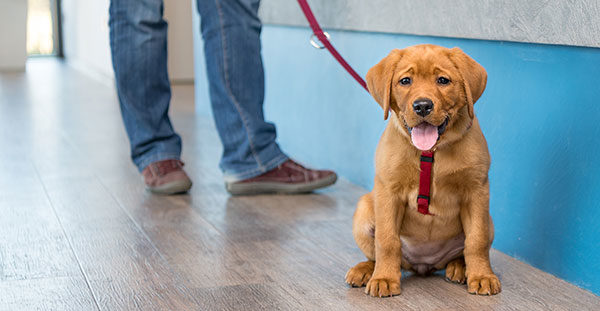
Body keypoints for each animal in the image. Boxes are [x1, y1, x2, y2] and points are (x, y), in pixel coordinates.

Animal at [344, 44, 500, 298]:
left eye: (443, 80)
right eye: (405, 81)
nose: (423, 106)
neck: (431, 151)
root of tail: (424, 264)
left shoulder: (476, 191)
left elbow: (476, 241)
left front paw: (482, 276)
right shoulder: (388, 192)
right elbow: (387, 241)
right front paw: (384, 278)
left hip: (490, 221)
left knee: (465, 249)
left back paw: (460, 267)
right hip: (364, 210)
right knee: (378, 253)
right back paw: (367, 270)